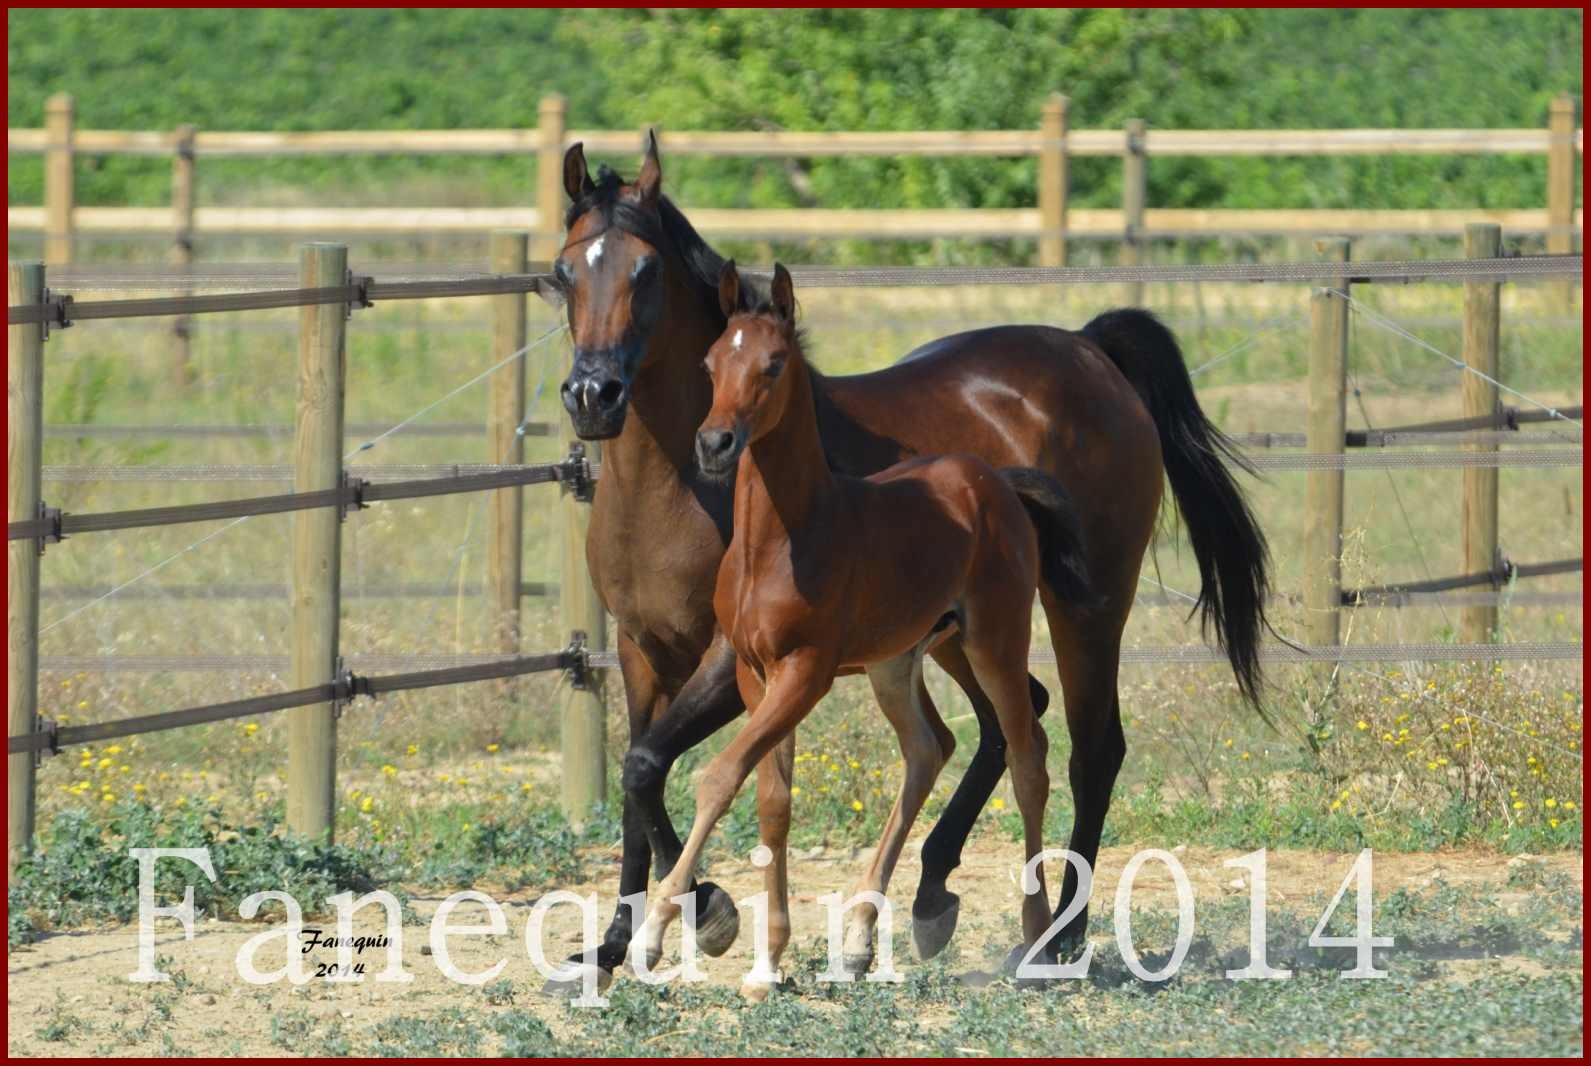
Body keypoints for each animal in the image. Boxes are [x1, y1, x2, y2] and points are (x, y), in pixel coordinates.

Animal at [633, 262, 1094, 999]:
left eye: (773, 364)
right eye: (711, 362)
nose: (714, 443)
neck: (779, 540)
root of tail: (993, 480)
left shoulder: (806, 672)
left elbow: (720, 776)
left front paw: (653, 936)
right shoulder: (754, 674)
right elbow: (772, 800)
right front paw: (767, 962)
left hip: (991, 641)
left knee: (1028, 758)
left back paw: (1037, 942)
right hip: (897, 662)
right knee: (927, 750)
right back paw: (855, 939)